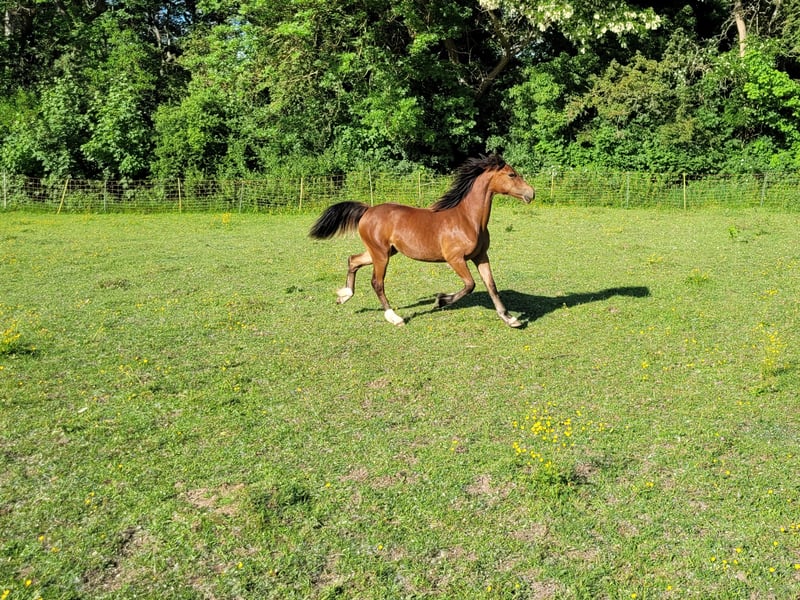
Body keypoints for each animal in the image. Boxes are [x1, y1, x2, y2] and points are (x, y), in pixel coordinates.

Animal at [309, 154, 535, 327]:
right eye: (512, 174)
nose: (531, 193)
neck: (468, 219)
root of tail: (367, 210)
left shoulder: (480, 256)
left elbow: (491, 286)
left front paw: (510, 318)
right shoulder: (455, 259)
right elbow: (470, 285)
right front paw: (441, 300)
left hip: (383, 251)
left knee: (353, 260)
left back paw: (344, 295)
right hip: (381, 254)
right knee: (377, 283)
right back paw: (394, 317)